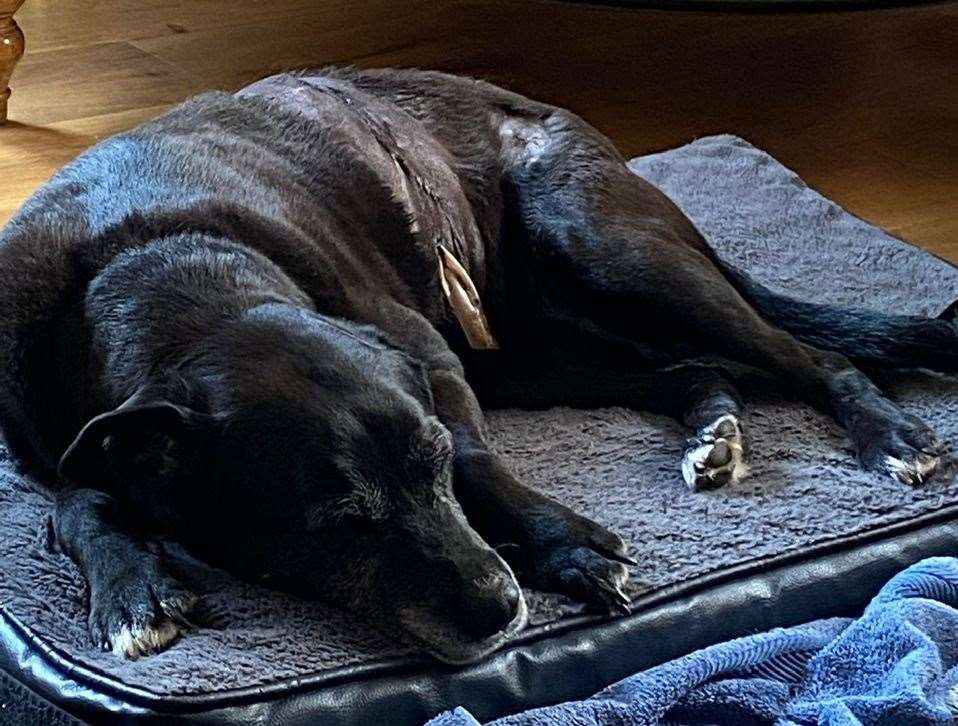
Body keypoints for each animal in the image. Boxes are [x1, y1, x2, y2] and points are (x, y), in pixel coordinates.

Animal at [1, 68, 958, 664]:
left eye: (427, 468)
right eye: (336, 521)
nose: (502, 607)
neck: (156, 260)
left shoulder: (430, 367)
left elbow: (476, 458)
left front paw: (565, 547)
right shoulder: (58, 450)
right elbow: (77, 501)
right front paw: (131, 589)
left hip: (612, 250)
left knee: (811, 355)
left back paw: (888, 434)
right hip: (538, 355)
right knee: (696, 370)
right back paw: (712, 432)